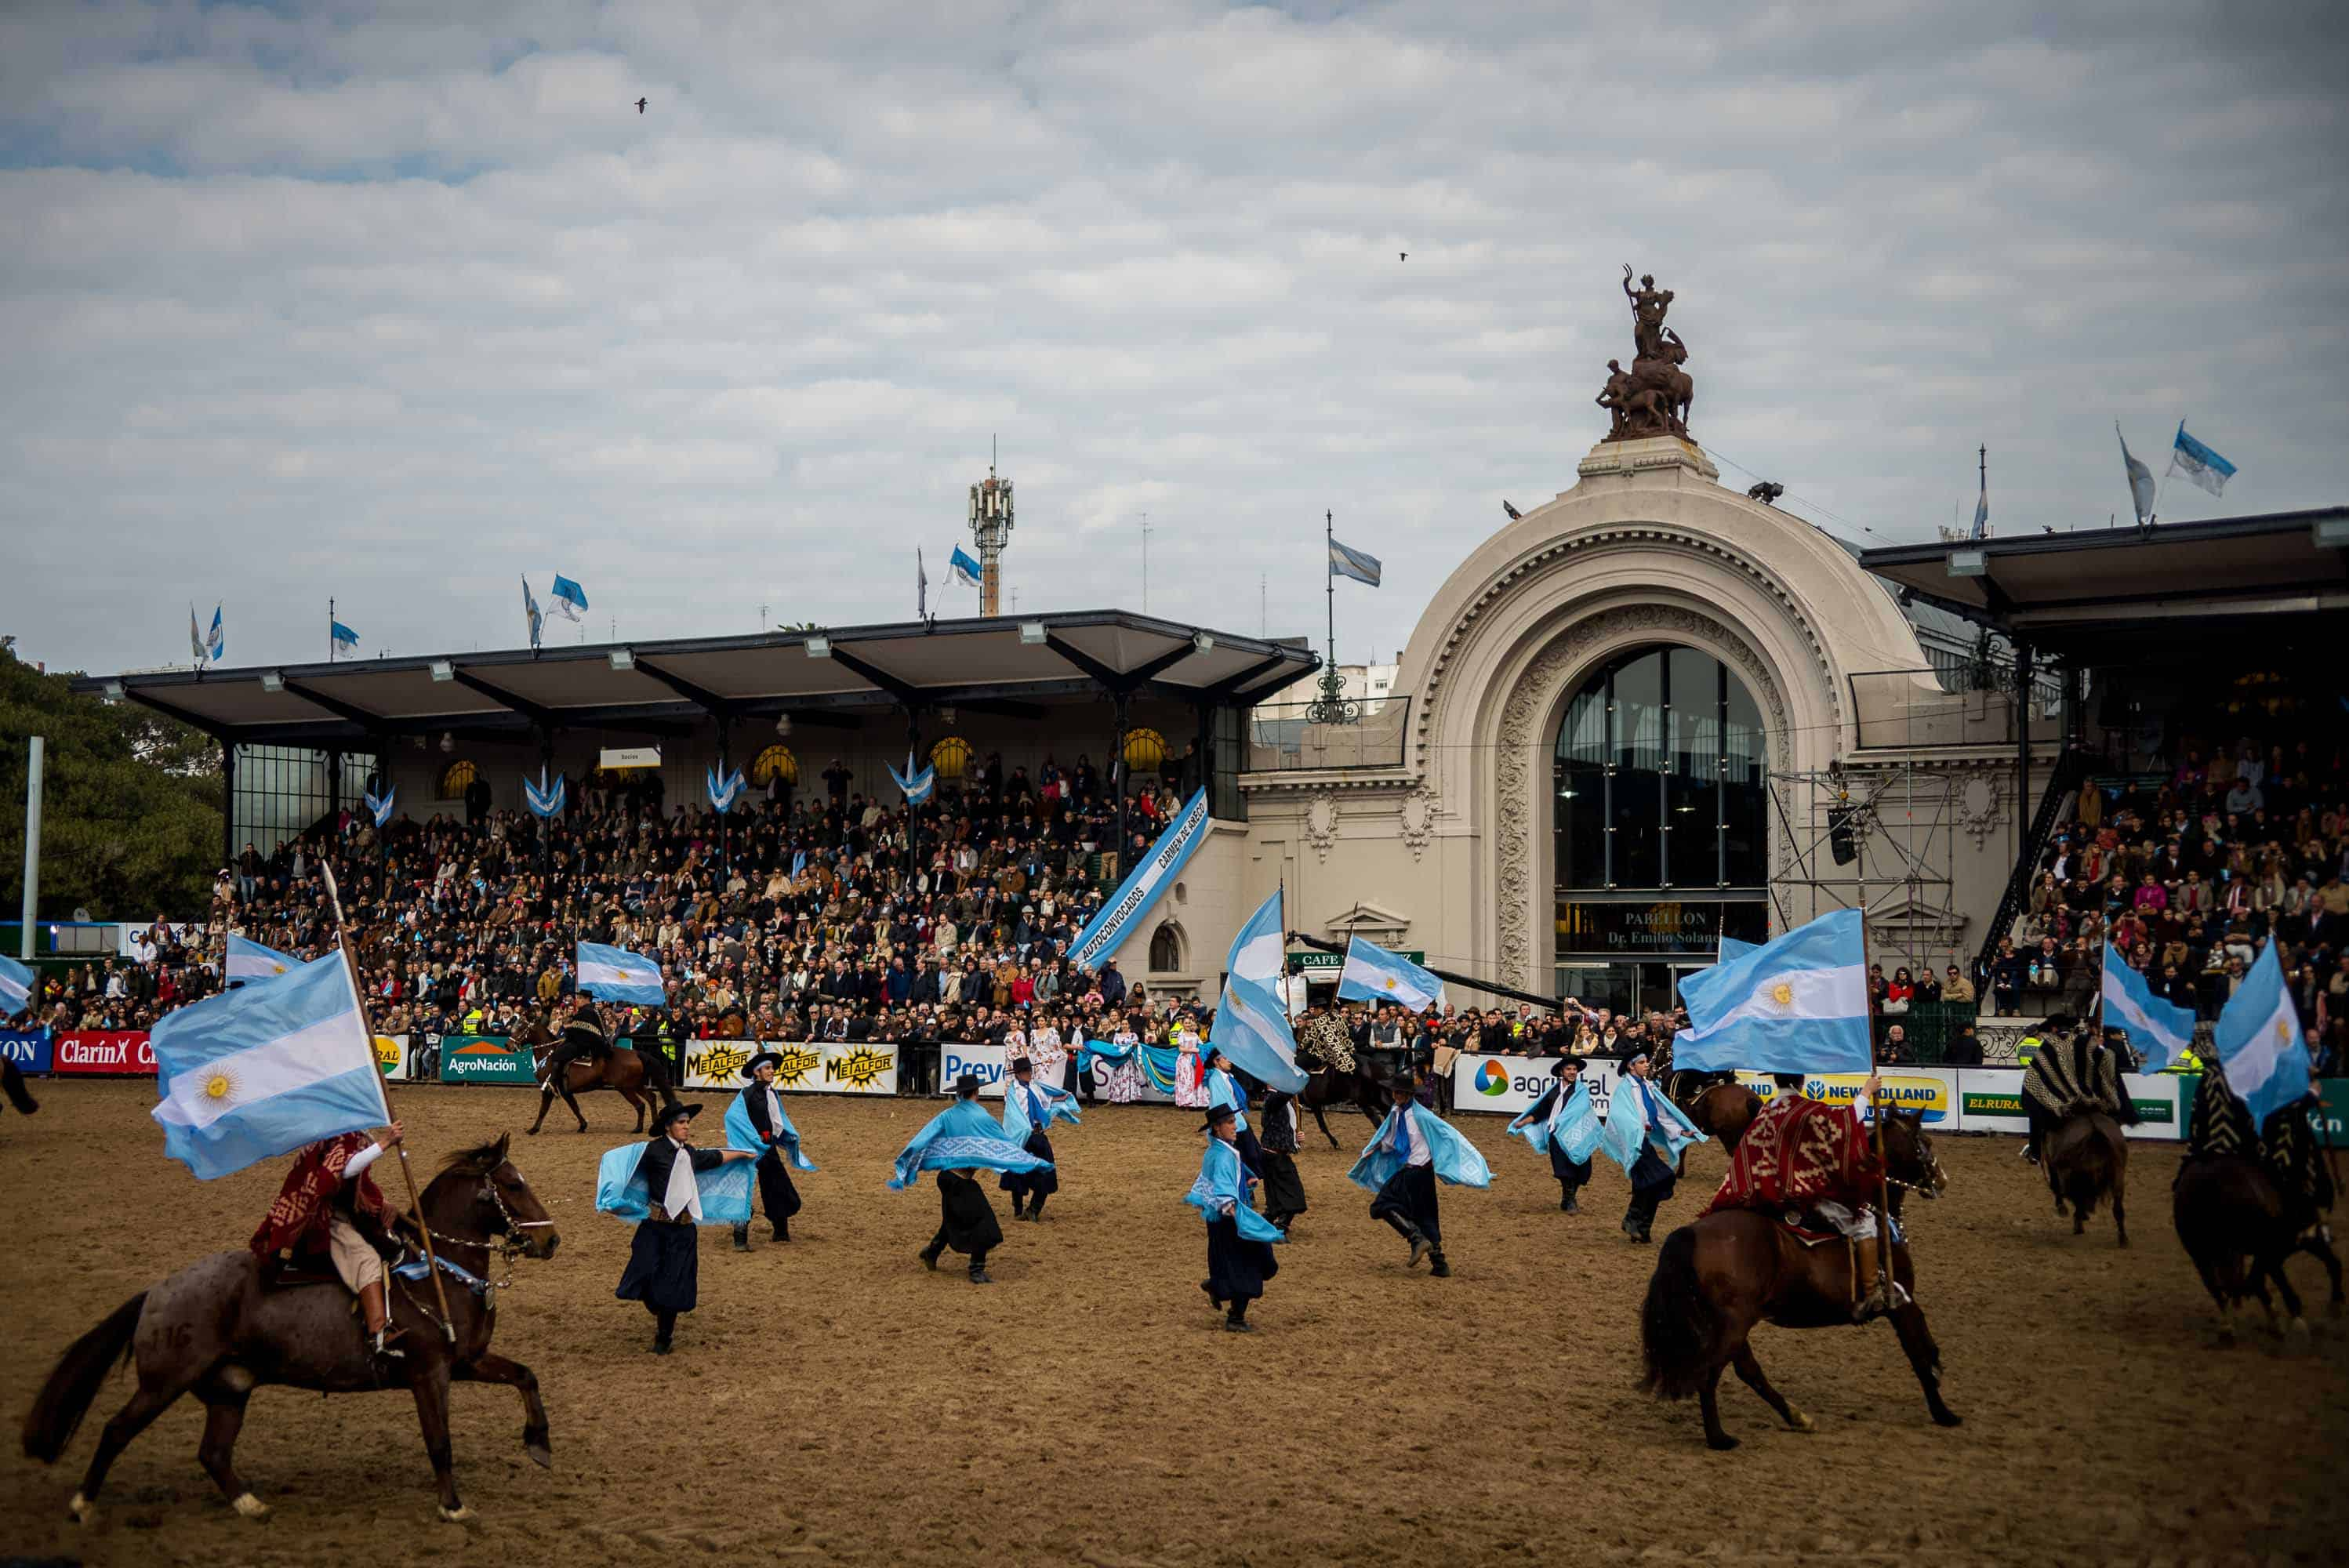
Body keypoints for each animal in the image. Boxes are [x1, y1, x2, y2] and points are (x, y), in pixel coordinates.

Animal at [21, 1131, 559, 1521]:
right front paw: (452, 1506)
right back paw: (83, 1505)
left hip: (230, 1389)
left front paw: (539, 1444)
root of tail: (158, 1291)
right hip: (164, 1383)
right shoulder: (430, 1375)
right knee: (116, 1430)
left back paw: (250, 1504)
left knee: (213, 1453)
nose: (550, 1240)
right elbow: (440, 1442)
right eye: (513, 1185)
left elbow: (526, 1376)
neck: (435, 1272)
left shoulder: (466, 1361)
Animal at [524, 1009, 681, 1131]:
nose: (514, 1044)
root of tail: (636, 1053)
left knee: (640, 1105)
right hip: (636, 1085)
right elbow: (575, 1107)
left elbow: (543, 1109)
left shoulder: (549, 1090)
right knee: (651, 1098)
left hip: (626, 1088)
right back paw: (654, 1123)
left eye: (521, 1027)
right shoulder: (566, 1091)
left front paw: (534, 1129)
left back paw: (638, 1128)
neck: (549, 1055)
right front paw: (583, 1125)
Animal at [1644, 1108, 1954, 1455]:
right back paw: (1719, 1437)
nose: (1941, 1179)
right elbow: (1920, 1354)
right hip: (1733, 1324)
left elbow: (1926, 1348)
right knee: (1711, 1374)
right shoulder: (1902, 1305)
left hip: (1728, 1325)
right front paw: (1944, 1413)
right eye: (1925, 1142)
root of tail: (1691, 1234)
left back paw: (1795, 1417)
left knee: (1748, 1370)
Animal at [2170, 1145, 2340, 1342]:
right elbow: (2265, 1282)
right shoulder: (2274, 1250)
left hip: (2201, 1253)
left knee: (2218, 1287)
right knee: (2231, 1286)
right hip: (2230, 1251)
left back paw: (2229, 1328)